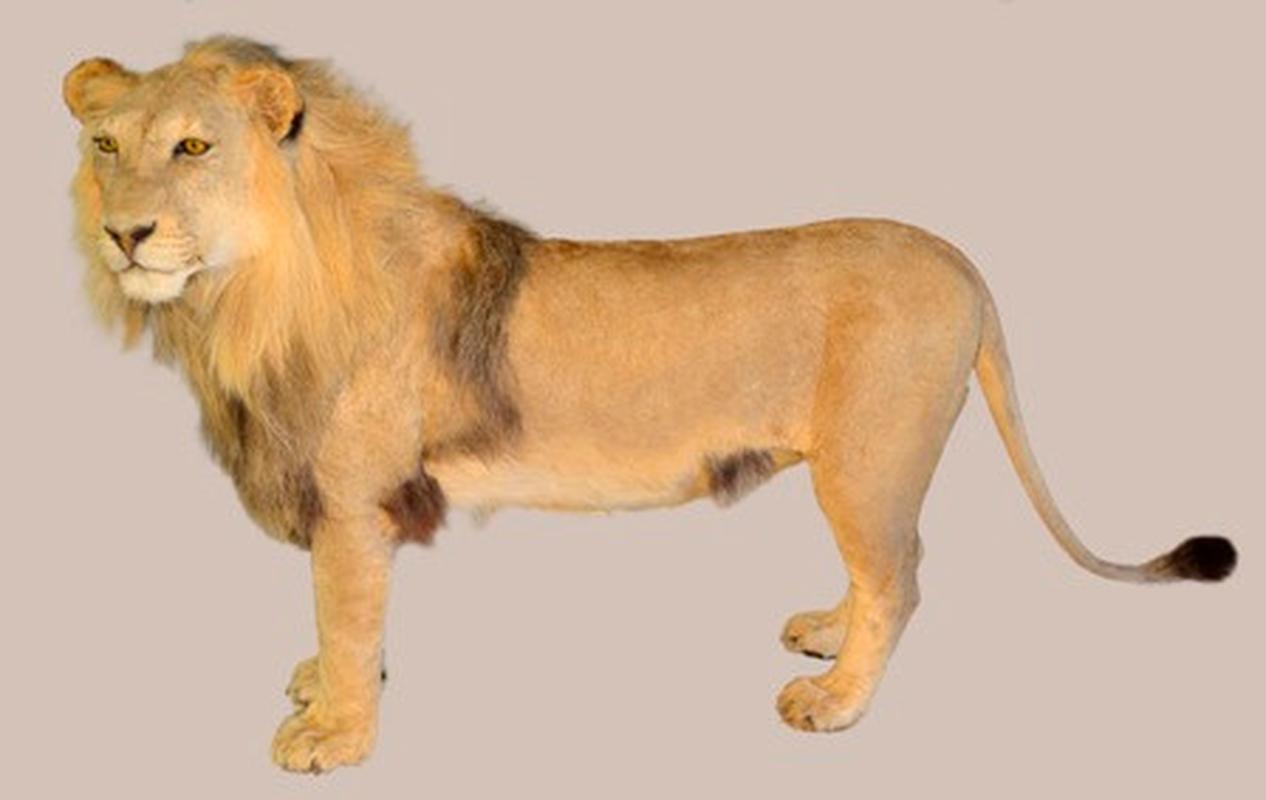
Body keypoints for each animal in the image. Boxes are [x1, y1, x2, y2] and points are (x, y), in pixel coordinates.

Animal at [63, 36, 1237, 773]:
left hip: (870, 460)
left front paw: (337, 734)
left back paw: (834, 702)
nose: (125, 235)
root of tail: (960, 260)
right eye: (105, 147)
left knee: (902, 578)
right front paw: (322, 689)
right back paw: (824, 632)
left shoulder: (354, 497)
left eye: (194, 146)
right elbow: (346, 619)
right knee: (881, 571)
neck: (235, 298)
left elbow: (345, 613)